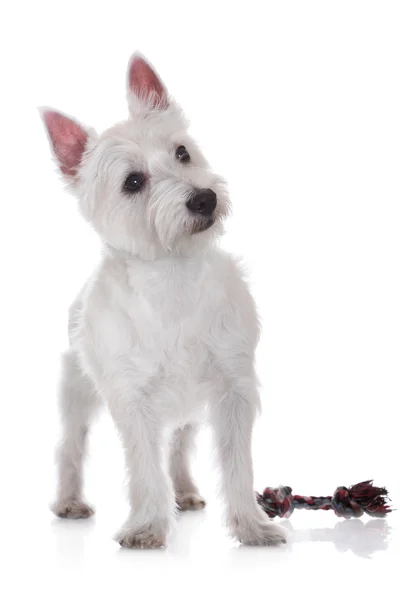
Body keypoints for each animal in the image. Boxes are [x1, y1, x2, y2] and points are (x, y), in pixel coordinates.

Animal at [41, 51, 288, 548]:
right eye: (133, 182)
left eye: (182, 152)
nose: (204, 198)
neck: (173, 277)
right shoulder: (131, 399)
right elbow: (144, 468)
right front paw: (148, 527)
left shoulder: (233, 388)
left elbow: (237, 465)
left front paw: (252, 526)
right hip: (78, 391)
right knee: (70, 445)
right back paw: (69, 501)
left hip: (189, 409)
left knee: (179, 444)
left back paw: (187, 491)